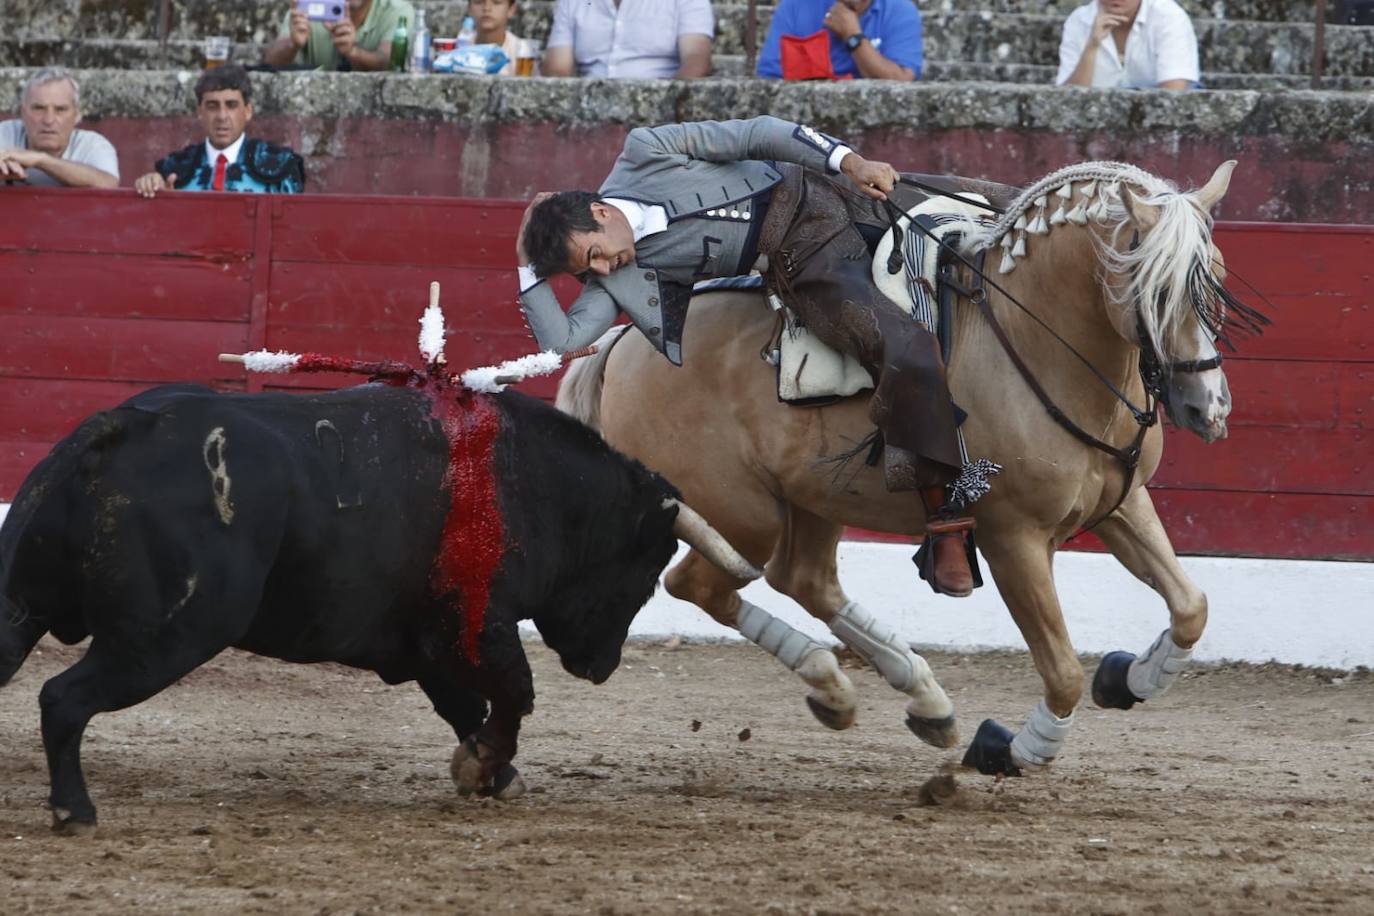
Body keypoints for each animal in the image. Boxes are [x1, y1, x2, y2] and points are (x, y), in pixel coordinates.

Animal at [2, 379, 752, 829]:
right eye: (648, 569)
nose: (602, 666)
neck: (533, 481)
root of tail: (120, 426)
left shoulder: (426, 644)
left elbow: (466, 707)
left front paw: (490, 772)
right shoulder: (479, 626)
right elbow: (513, 692)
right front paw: (484, 767)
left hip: (20, 611)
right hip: (167, 637)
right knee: (63, 699)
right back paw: (75, 810)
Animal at [557, 161, 1264, 780]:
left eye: (1217, 277)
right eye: (1157, 288)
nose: (1207, 407)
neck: (1032, 337)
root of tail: (622, 347)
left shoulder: (1122, 503)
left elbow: (1192, 606)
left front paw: (1127, 677)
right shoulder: (1013, 537)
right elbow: (1062, 670)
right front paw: (1010, 749)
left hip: (815, 497)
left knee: (804, 579)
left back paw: (919, 699)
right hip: (743, 514)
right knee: (703, 585)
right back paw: (839, 685)